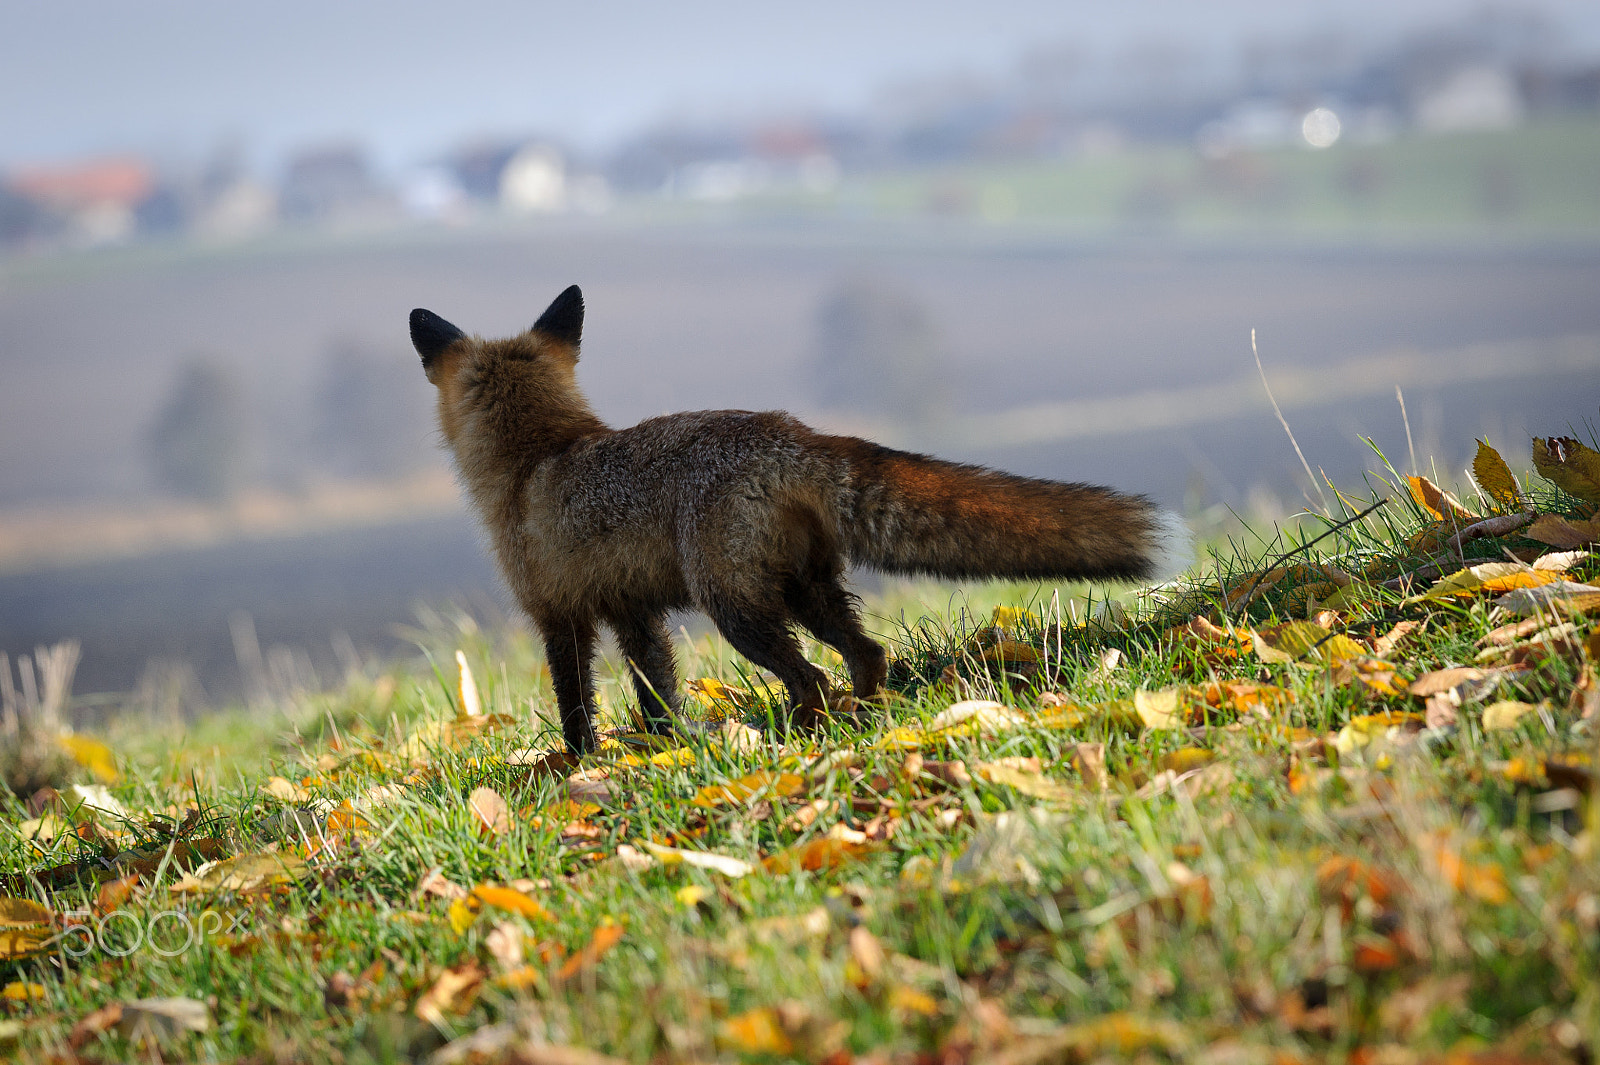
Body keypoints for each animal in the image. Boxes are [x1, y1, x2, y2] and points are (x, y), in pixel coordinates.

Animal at [410, 284, 1191, 754]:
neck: (538, 455)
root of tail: (791, 432)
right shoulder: (635, 611)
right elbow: (658, 692)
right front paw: (665, 748)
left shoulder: (558, 614)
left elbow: (578, 706)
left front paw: (579, 765)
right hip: (806, 591)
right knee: (867, 654)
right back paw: (866, 713)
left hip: (738, 609)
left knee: (810, 675)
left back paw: (804, 731)